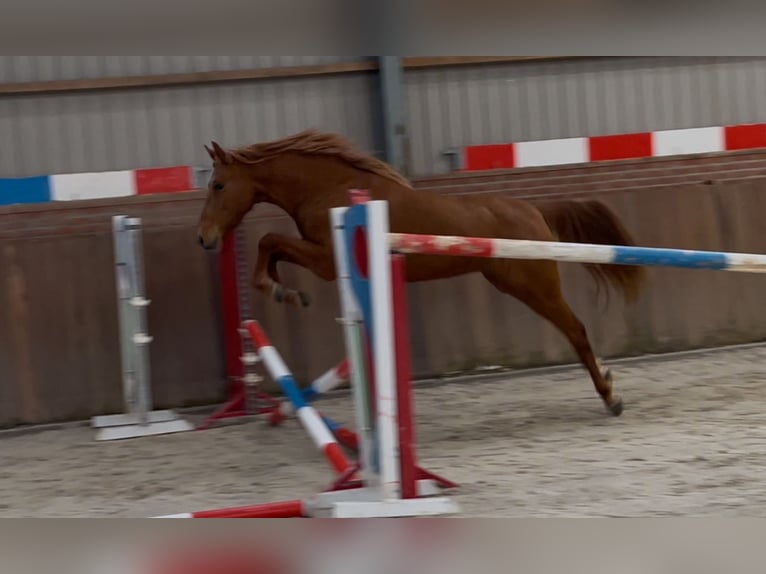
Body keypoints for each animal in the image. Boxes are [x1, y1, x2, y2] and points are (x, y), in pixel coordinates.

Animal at [196, 130, 648, 418]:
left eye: (219, 185)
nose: (204, 238)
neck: (330, 188)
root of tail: (535, 211)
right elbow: (271, 247)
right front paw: (284, 291)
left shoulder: (325, 261)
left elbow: (269, 240)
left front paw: (281, 291)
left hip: (534, 287)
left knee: (577, 331)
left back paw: (610, 397)